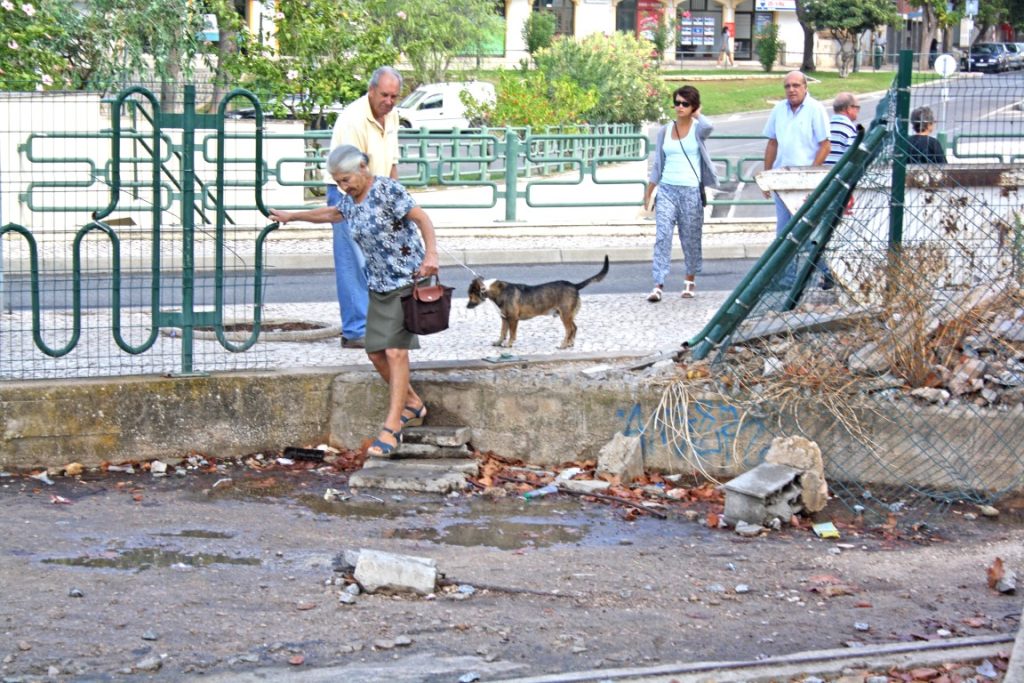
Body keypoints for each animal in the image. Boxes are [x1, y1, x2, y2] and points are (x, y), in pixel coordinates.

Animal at [468, 259, 606, 350]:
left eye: (470, 294)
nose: (467, 306)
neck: (494, 290)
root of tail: (574, 285)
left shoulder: (513, 319)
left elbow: (512, 334)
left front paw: (509, 344)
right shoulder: (504, 319)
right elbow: (502, 333)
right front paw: (498, 343)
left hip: (565, 315)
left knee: (570, 329)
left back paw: (563, 345)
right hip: (568, 315)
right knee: (575, 328)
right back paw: (570, 343)